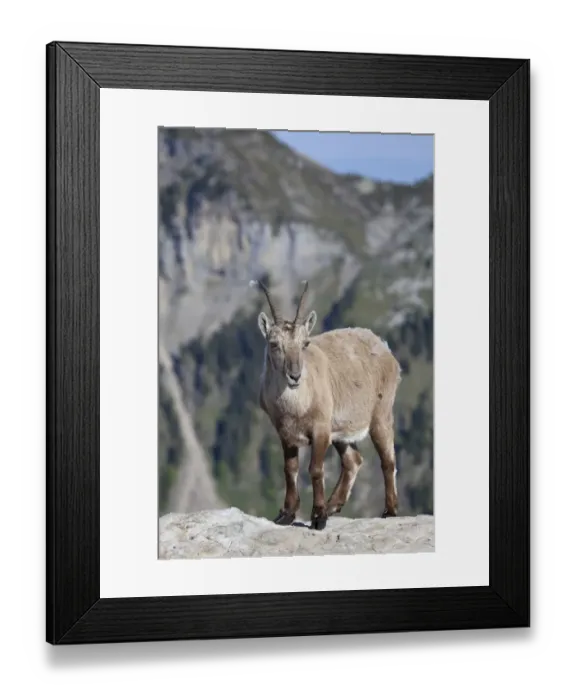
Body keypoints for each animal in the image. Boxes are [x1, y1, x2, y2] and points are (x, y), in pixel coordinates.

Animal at [250, 278, 402, 530]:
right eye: (273, 344)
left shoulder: (321, 428)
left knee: (387, 460)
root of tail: (385, 347)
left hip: (381, 413)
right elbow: (290, 469)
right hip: (341, 431)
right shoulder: (285, 432)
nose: (294, 376)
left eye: (305, 343)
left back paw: (389, 511)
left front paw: (318, 517)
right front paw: (287, 514)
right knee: (353, 461)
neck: (295, 405)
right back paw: (333, 506)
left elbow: (316, 469)